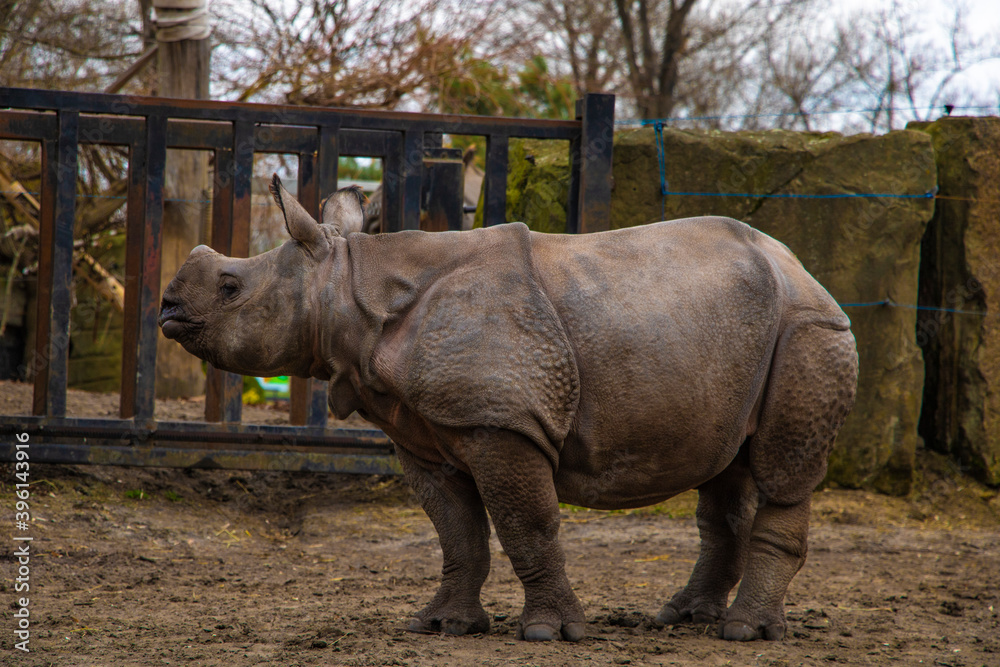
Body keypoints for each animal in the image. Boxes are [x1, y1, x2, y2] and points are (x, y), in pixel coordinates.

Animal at [159, 175, 858, 643]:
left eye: (230, 288)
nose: (166, 308)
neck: (349, 287)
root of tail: (801, 267)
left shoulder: (501, 423)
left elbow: (528, 524)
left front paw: (550, 634)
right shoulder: (426, 431)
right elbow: (456, 531)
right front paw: (443, 626)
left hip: (808, 328)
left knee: (782, 469)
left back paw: (745, 633)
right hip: (738, 333)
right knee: (726, 468)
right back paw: (681, 617)